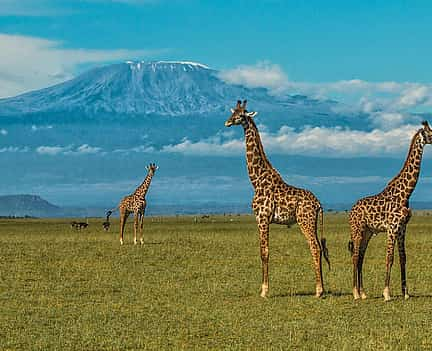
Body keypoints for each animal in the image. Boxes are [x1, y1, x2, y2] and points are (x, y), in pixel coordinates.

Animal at [224, 100, 330, 298]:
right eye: (232, 112)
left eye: (241, 115)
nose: (227, 122)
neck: (256, 180)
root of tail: (319, 204)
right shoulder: (263, 219)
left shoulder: (262, 218)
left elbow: (264, 252)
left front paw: (264, 291)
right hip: (311, 222)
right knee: (319, 247)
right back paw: (321, 288)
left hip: (305, 221)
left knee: (314, 246)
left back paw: (319, 291)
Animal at [350, 121, 432, 302]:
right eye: (431, 133)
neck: (406, 193)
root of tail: (351, 210)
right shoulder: (392, 228)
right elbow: (390, 258)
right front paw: (386, 293)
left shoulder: (402, 229)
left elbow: (403, 258)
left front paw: (405, 293)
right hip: (357, 230)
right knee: (355, 256)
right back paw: (355, 293)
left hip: (368, 232)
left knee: (361, 257)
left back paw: (363, 293)